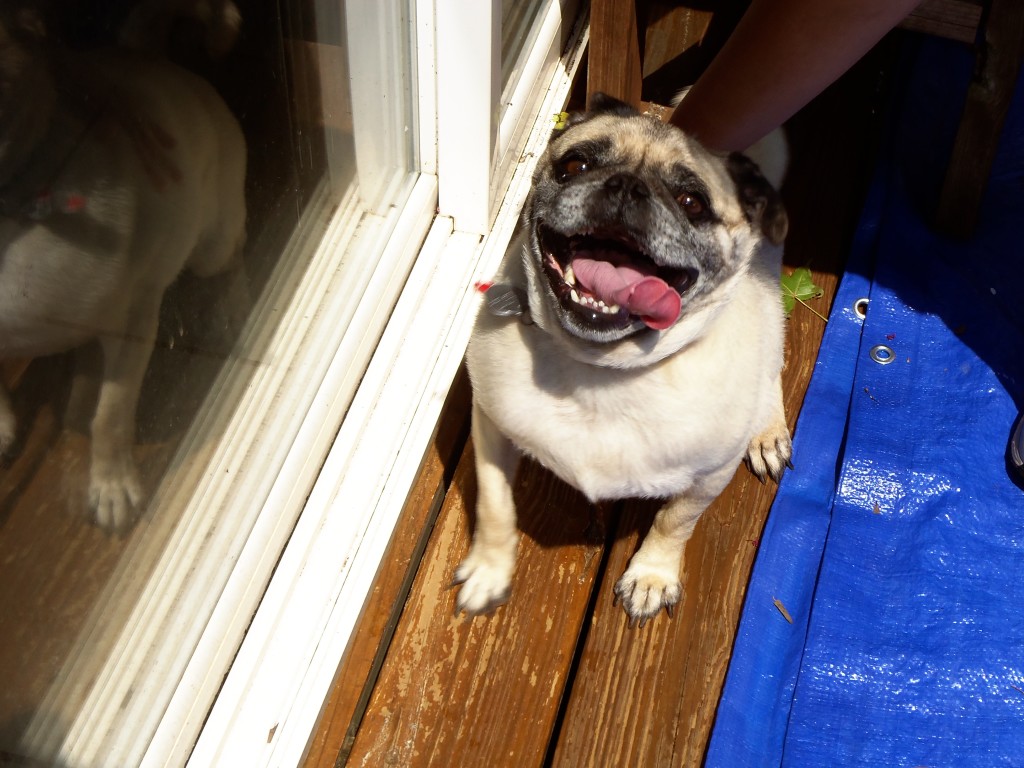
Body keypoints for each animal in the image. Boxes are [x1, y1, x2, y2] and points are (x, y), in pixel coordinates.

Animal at [456, 94, 790, 626]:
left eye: (692, 203)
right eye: (575, 166)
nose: (627, 185)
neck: (597, 369)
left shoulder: (710, 476)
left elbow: (675, 521)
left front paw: (651, 576)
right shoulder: (489, 426)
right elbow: (494, 503)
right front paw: (490, 569)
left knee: (772, 363)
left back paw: (768, 430)